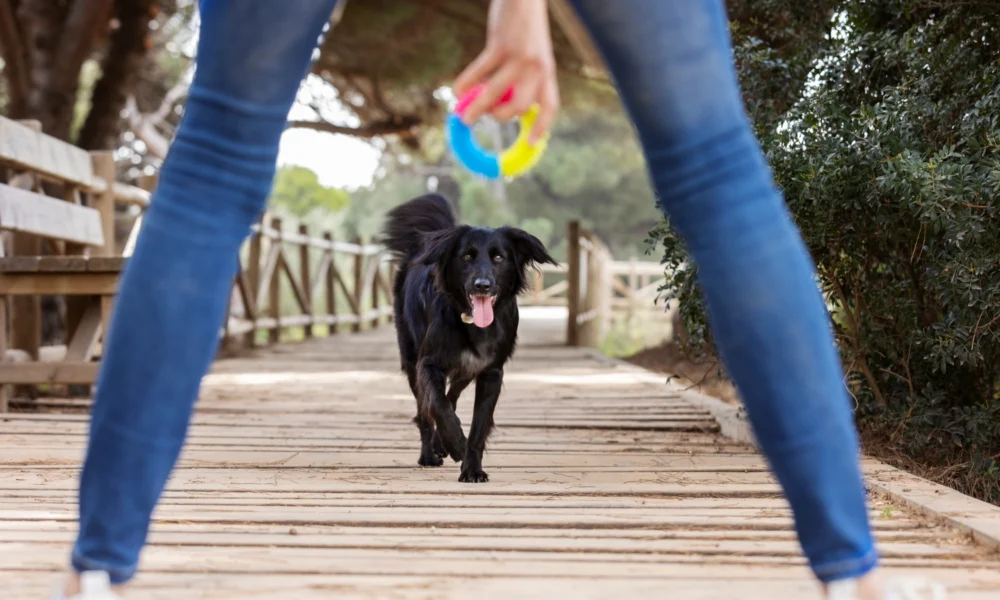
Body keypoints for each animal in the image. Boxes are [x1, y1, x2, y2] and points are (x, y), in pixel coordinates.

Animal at [380, 196, 560, 482]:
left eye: (498, 257)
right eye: (466, 256)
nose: (482, 285)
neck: (472, 323)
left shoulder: (490, 371)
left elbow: (477, 424)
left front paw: (472, 467)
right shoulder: (428, 363)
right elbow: (439, 407)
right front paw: (455, 444)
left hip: (467, 368)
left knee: (451, 394)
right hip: (411, 359)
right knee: (425, 410)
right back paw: (429, 454)